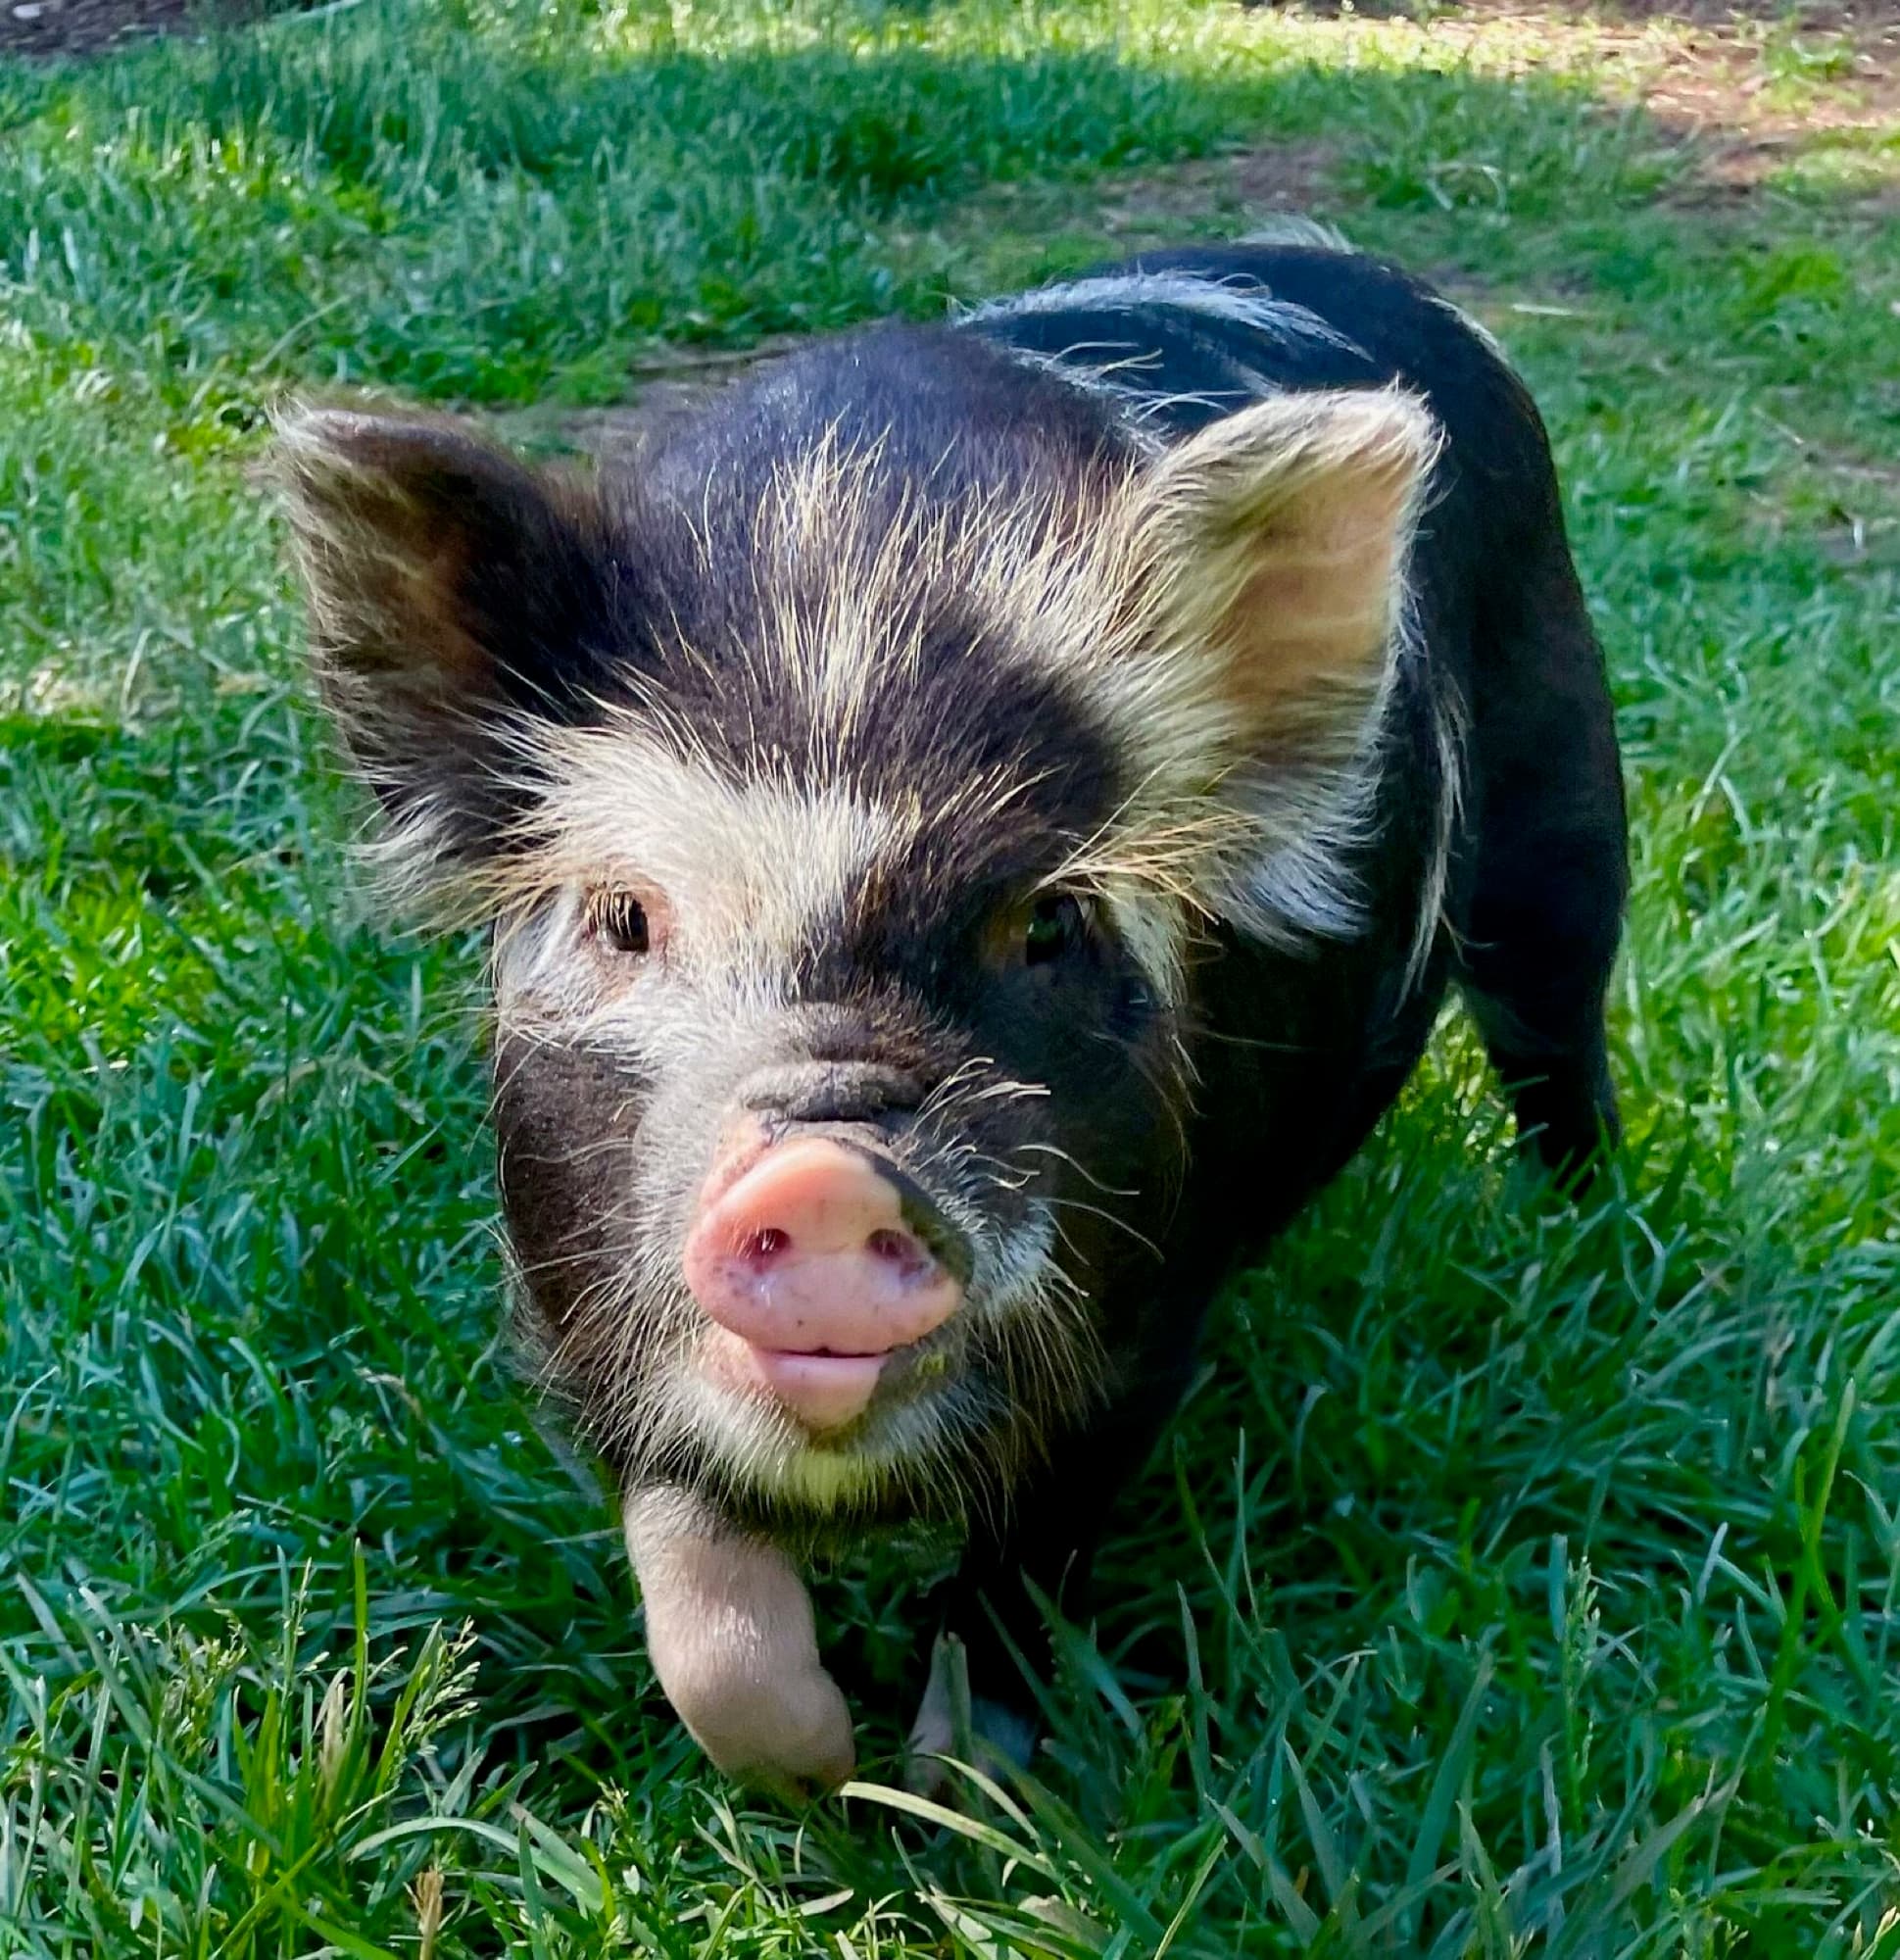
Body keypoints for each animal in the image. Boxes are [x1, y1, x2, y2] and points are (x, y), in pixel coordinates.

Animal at [276, 233, 1626, 1797]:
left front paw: (945, 1794)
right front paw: (810, 1773)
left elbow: (1018, 1577)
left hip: (1562, 812)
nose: (823, 1164)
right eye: (623, 914)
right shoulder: (580, 1312)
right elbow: (703, 1611)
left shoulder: (1139, 1323)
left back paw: (1572, 1233)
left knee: (1558, 1035)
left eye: (1047, 920)